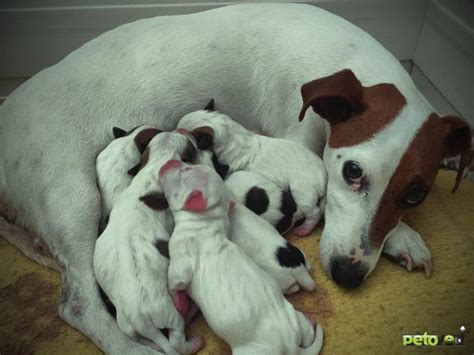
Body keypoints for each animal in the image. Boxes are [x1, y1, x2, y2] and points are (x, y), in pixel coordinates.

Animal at [94, 131, 202, 355]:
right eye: (191, 150)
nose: (185, 132)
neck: (153, 169)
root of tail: (142, 321)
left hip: (126, 326)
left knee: (148, 341)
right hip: (170, 315)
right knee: (176, 339)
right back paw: (193, 337)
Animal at [158, 162, 322, 355]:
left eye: (185, 170)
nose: (168, 163)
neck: (207, 222)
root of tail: (291, 348)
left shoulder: (180, 258)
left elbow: (176, 282)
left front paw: (179, 303)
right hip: (296, 318)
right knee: (308, 332)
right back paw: (311, 321)